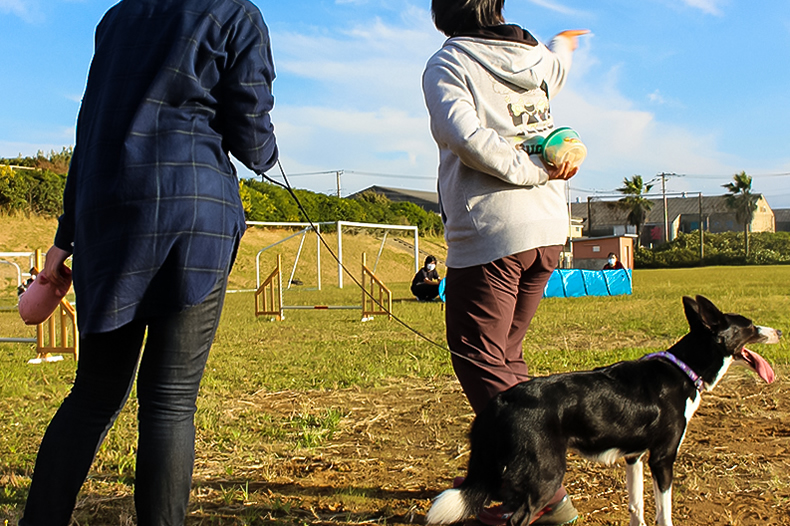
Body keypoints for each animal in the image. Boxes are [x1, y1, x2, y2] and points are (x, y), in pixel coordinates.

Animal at [426, 296, 780, 526]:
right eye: (750, 326)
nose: (778, 331)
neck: (683, 369)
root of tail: (501, 401)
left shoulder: (634, 458)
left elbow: (636, 507)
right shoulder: (662, 459)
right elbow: (664, 513)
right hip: (545, 473)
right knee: (518, 518)